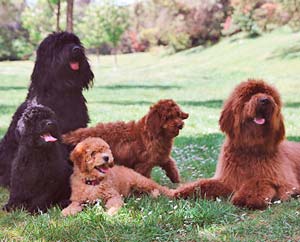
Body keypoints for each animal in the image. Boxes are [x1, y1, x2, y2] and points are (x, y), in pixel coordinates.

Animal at [175, 80, 300, 209]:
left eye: (269, 94)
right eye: (250, 95)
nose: (265, 100)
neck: (250, 148)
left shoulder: (284, 182)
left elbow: (258, 181)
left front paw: (247, 198)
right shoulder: (227, 181)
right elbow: (204, 184)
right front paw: (182, 192)